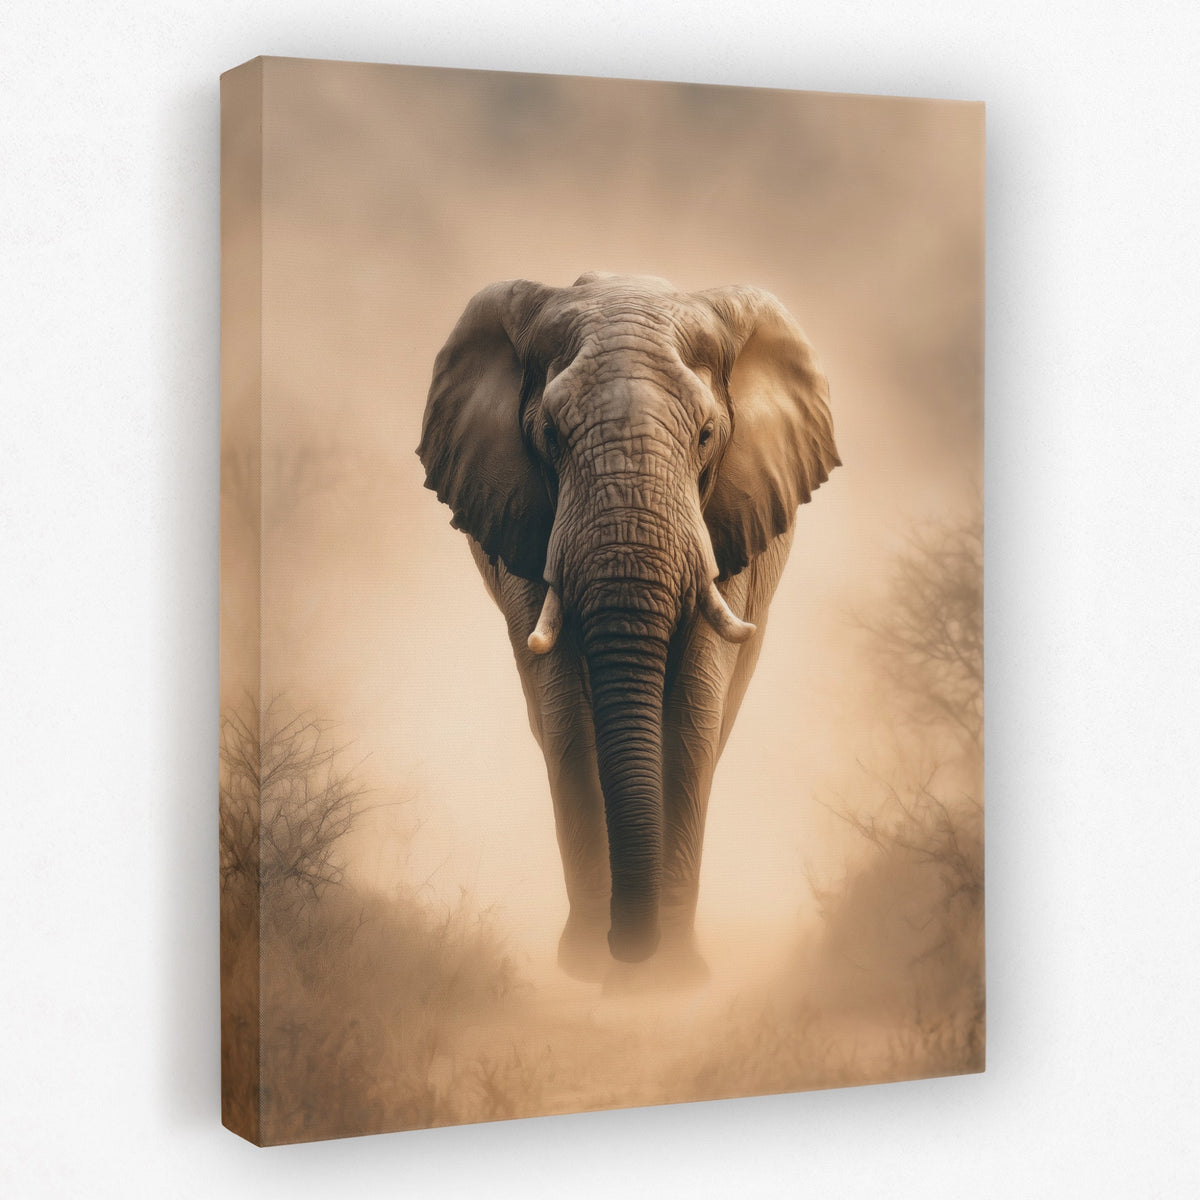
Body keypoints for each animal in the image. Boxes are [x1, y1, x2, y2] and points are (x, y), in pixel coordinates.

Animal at [417, 272, 838, 986]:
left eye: (706, 435)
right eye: (549, 435)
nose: (628, 947)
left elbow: (693, 715)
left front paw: (670, 980)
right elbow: (566, 717)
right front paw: (593, 967)